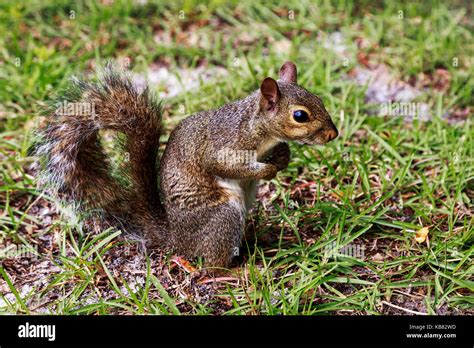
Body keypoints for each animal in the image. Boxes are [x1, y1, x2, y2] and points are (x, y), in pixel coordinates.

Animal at [32, 61, 336, 270]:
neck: (257, 128)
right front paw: (268, 170)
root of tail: (175, 239)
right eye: (300, 115)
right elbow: (224, 166)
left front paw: (283, 156)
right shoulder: (224, 146)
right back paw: (231, 272)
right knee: (212, 265)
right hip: (223, 216)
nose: (333, 134)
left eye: (320, 100)